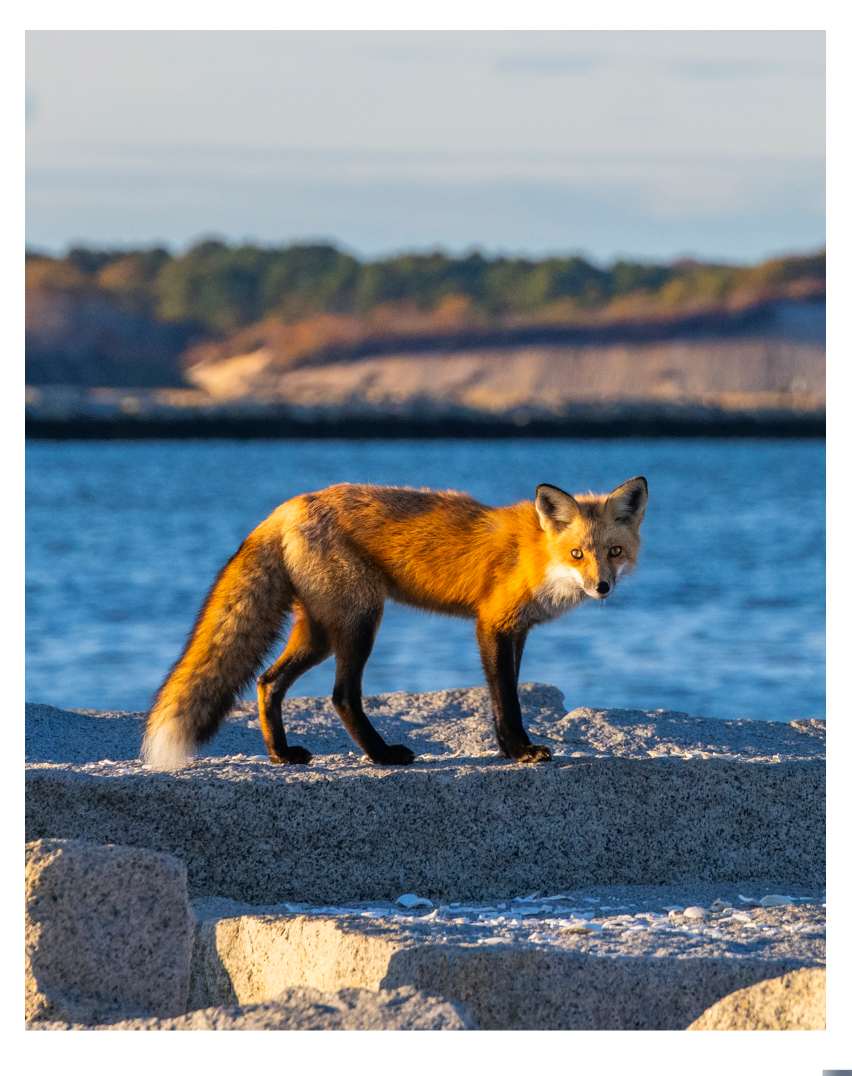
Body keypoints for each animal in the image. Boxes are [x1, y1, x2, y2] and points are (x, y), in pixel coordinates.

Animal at [141, 476, 648, 770]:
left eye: (614, 552)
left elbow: (502, 698)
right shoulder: (493, 624)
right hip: (361, 621)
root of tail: (285, 508)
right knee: (341, 695)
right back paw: (382, 755)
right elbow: (506, 700)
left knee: (268, 681)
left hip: (320, 632)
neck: (536, 554)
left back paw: (281, 754)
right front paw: (521, 752)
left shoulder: (516, 630)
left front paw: (508, 750)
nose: (602, 587)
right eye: (577, 554)